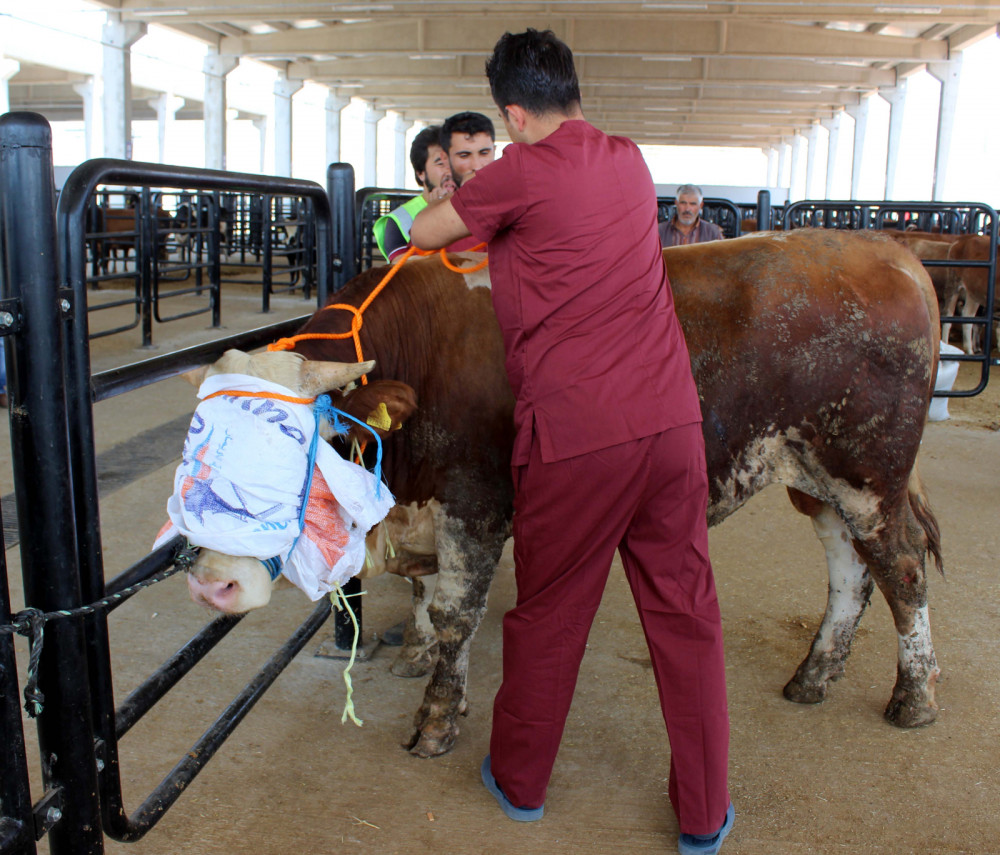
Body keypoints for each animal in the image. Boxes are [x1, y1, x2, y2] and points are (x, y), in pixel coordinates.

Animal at [186, 227, 944, 756]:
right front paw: (418, 655)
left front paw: (437, 719)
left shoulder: (475, 503)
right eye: (195, 449)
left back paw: (915, 697)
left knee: (902, 569)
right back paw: (814, 675)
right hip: (819, 481)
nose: (214, 582)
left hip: (868, 475)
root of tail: (887, 251)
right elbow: (426, 594)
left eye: (294, 447)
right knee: (849, 571)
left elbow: (458, 612)